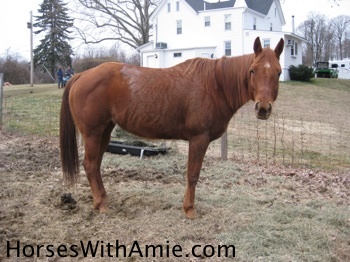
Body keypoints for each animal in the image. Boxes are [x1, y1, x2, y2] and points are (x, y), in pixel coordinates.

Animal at [60, 35, 284, 218]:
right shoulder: (199, 139)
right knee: (90, 165)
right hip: (92, 133)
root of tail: (81, 75)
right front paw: (189, 209)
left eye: (278, 72)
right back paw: (100, 204)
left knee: (96, 164)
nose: (263, 108)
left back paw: (103, 198)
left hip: (104, 132)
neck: (215, 85)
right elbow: (192, 175)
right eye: (252, 71)